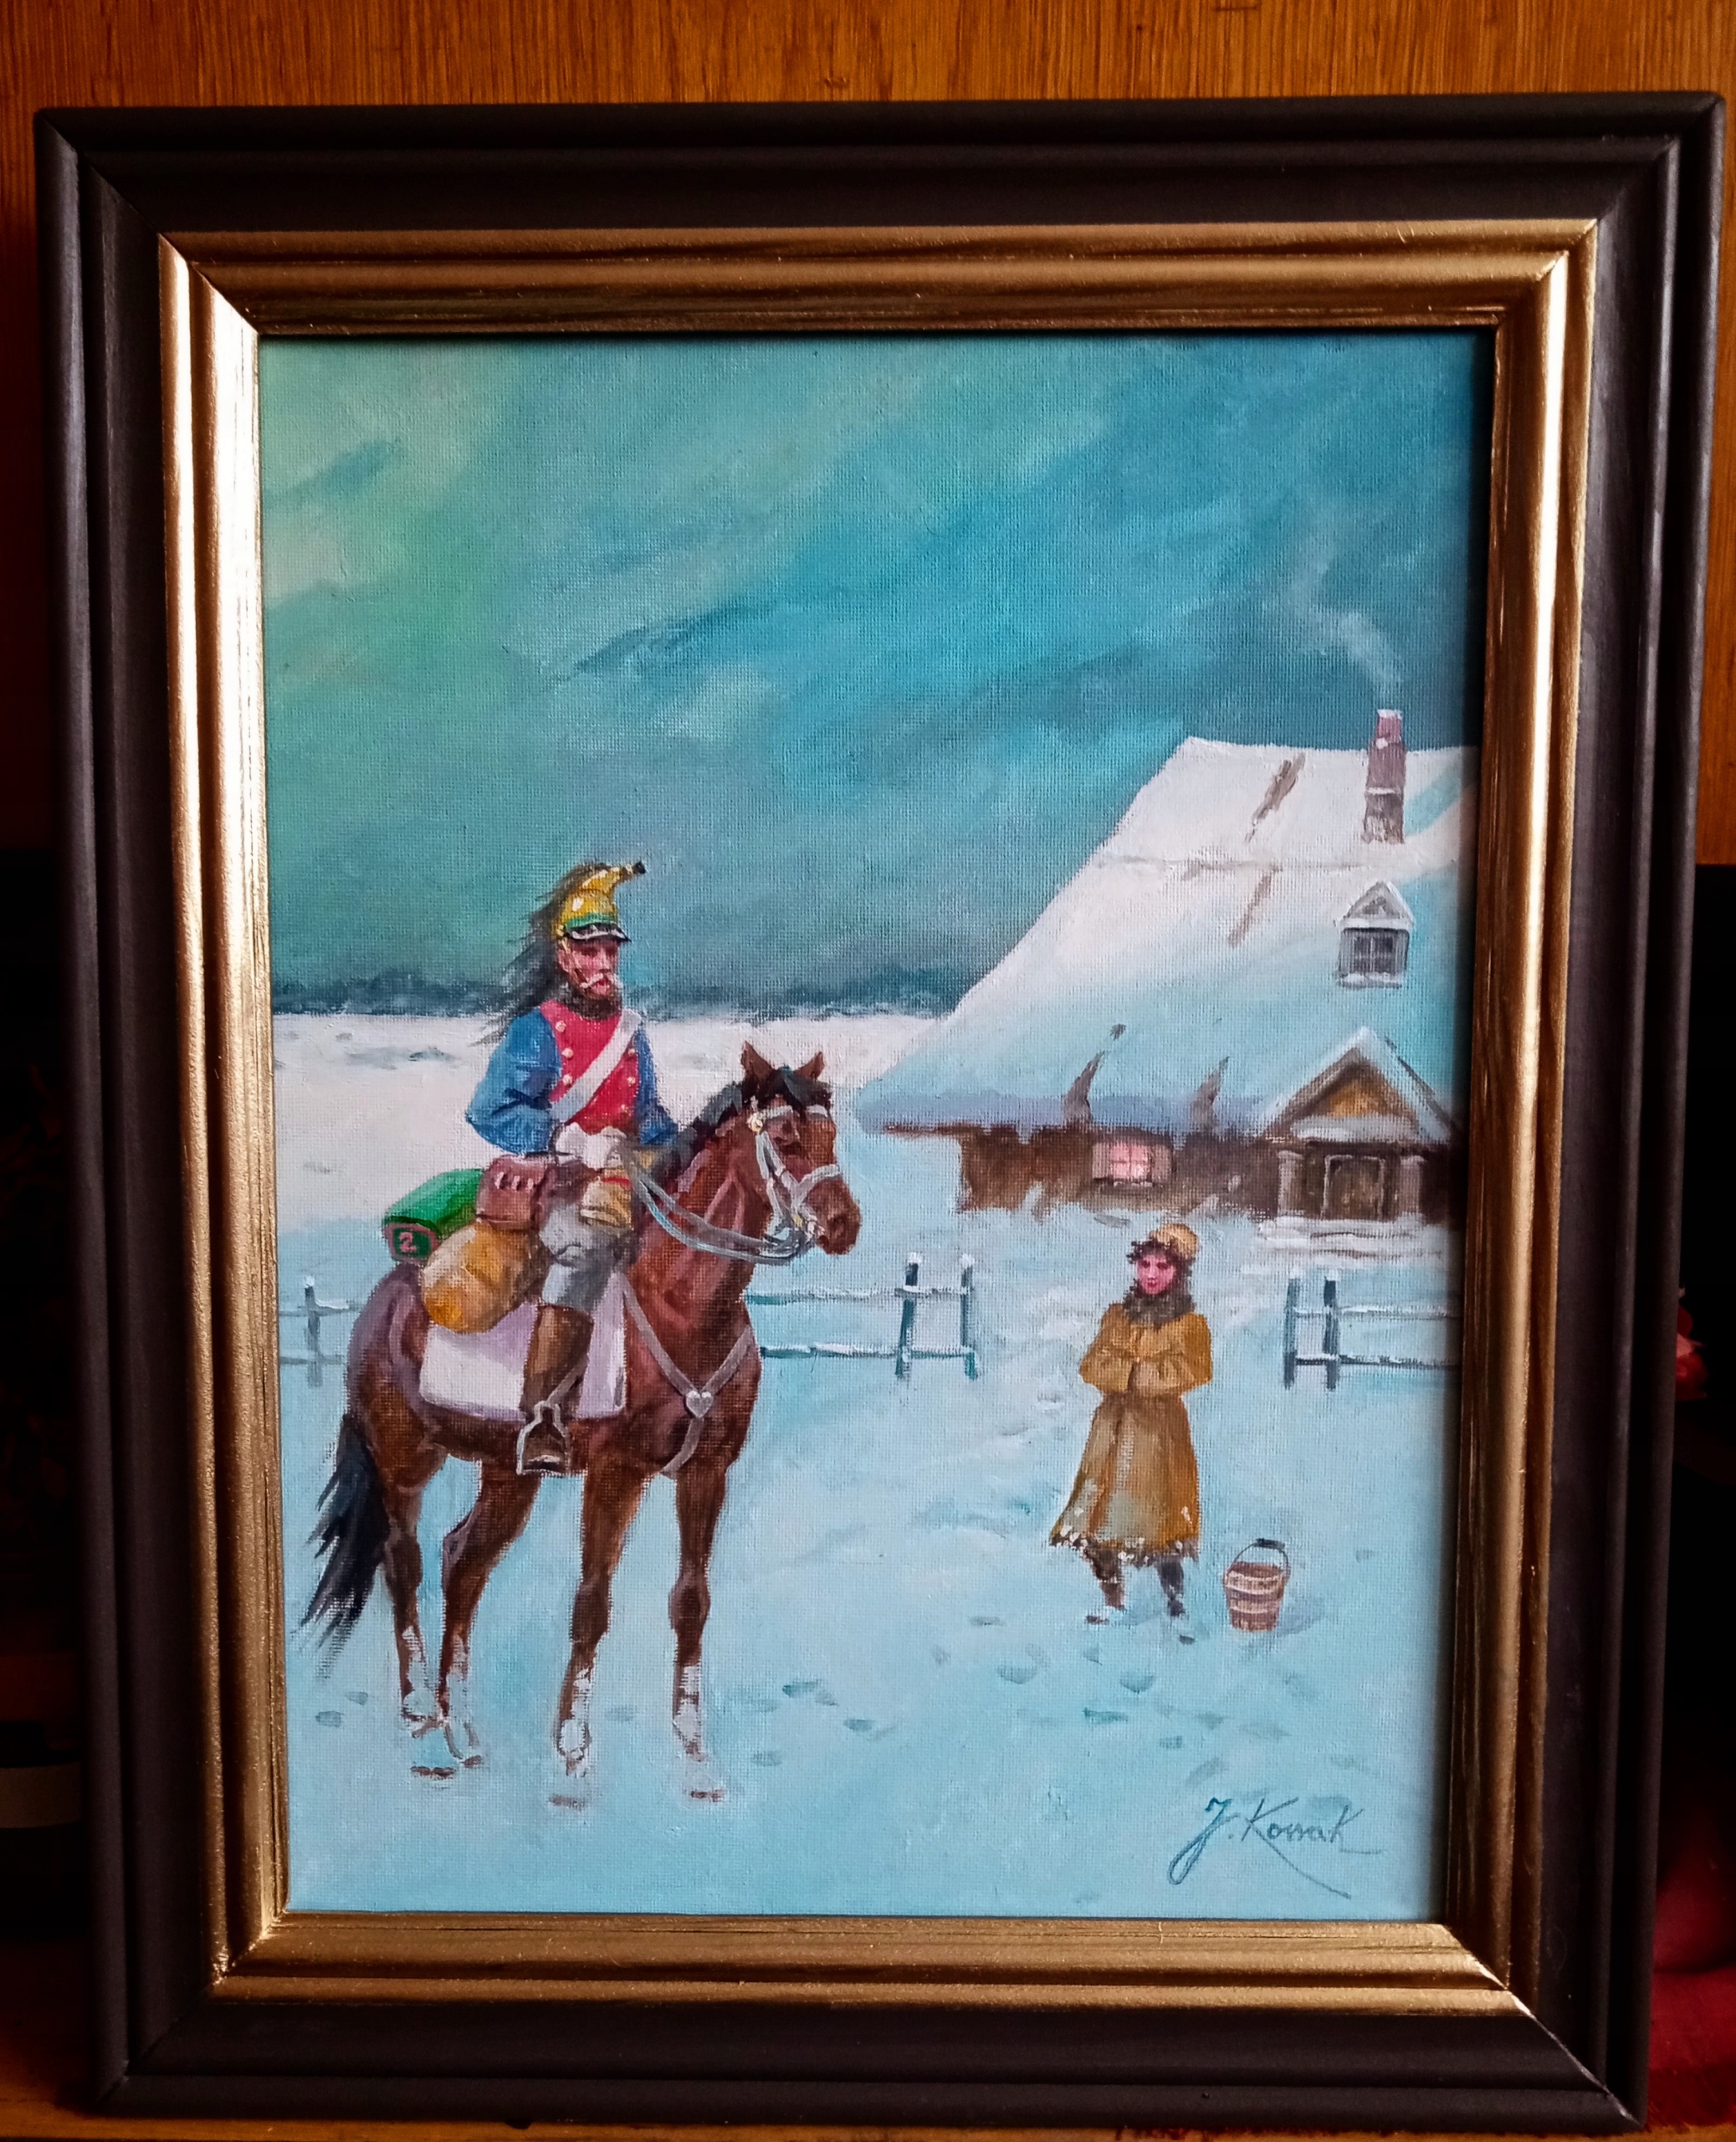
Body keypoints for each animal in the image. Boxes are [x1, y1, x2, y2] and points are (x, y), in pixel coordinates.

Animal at [302, 1045, 861, 1801]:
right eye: (783, 1136)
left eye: (830, 1134)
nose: (843, 1226)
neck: (682, 1303)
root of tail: (388, 1296)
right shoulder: (616, 1475)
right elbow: (592, 1604)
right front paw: (571, 1759)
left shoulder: (707, 1473)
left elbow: (691, 1601)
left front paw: (696, 1759)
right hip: (404, 1461)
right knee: (404, 1562)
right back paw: (423, 1721)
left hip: (509, 1473)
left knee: (462, 1563)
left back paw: (463, 1728)